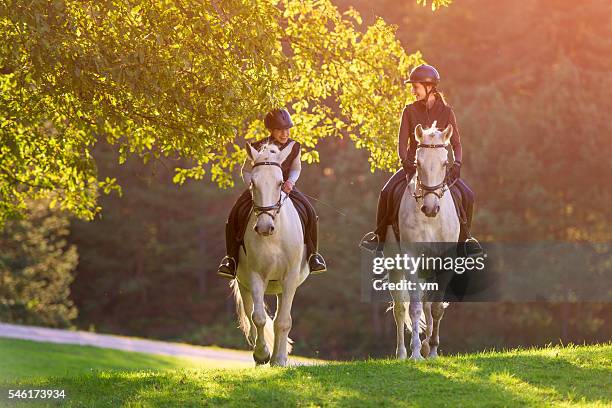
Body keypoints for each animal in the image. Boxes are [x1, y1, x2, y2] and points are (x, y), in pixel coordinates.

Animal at [230, 141, 308, 366]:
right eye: (253, 183)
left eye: (280, 182)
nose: (264, 227)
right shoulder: (255, 276)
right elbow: (258, 317)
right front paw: (262, 354)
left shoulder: (289, 278)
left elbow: (283, 321)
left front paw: (279, 359)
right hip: (244, 284)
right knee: (251, 314)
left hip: (283, 287)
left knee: (281, 319)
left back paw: (277, 358)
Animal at [388, 122, 460, 360]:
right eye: (417, 163)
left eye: (445, 163)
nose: (430, 208)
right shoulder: (411, 261)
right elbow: (414, 308)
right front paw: (416, 353)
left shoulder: (445, 262)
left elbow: (435, 308)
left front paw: (433, 350)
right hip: (395, 266)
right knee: (400, 307)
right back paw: (402, 353)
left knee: (428, 305)